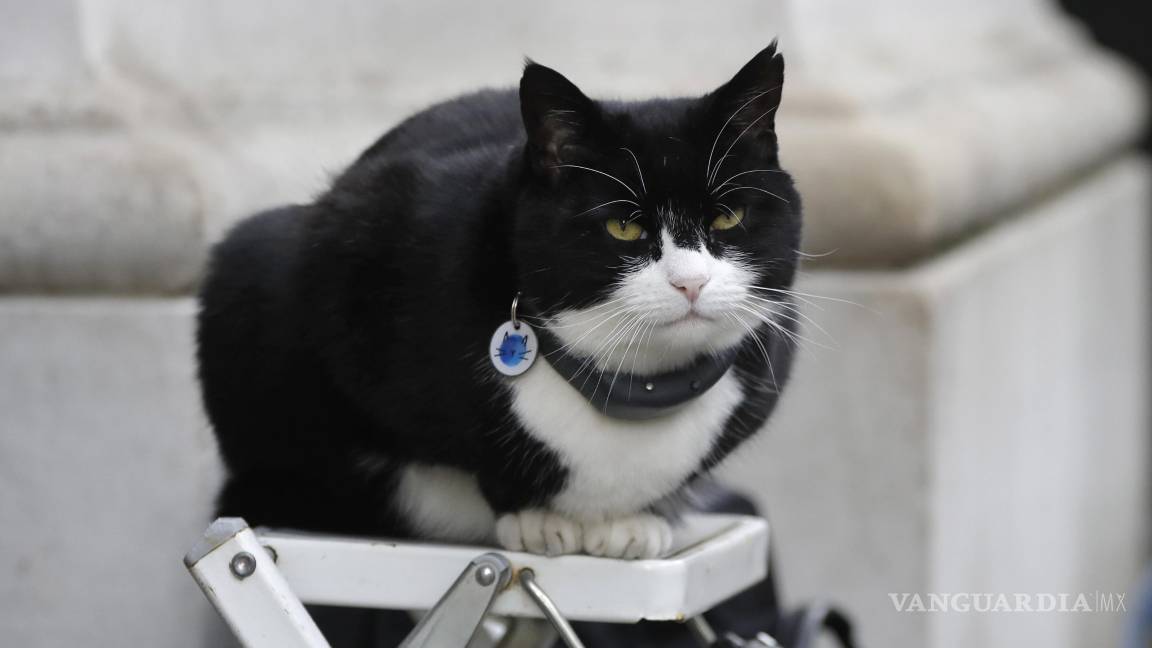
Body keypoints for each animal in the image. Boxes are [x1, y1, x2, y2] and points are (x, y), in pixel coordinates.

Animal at [195, 41, 801, 560]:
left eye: (728, 216)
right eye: (623, 226)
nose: (690, 283)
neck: (634, 382)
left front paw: (636, 520)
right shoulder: (351, 254)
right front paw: (535, 516)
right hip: (250, 260)